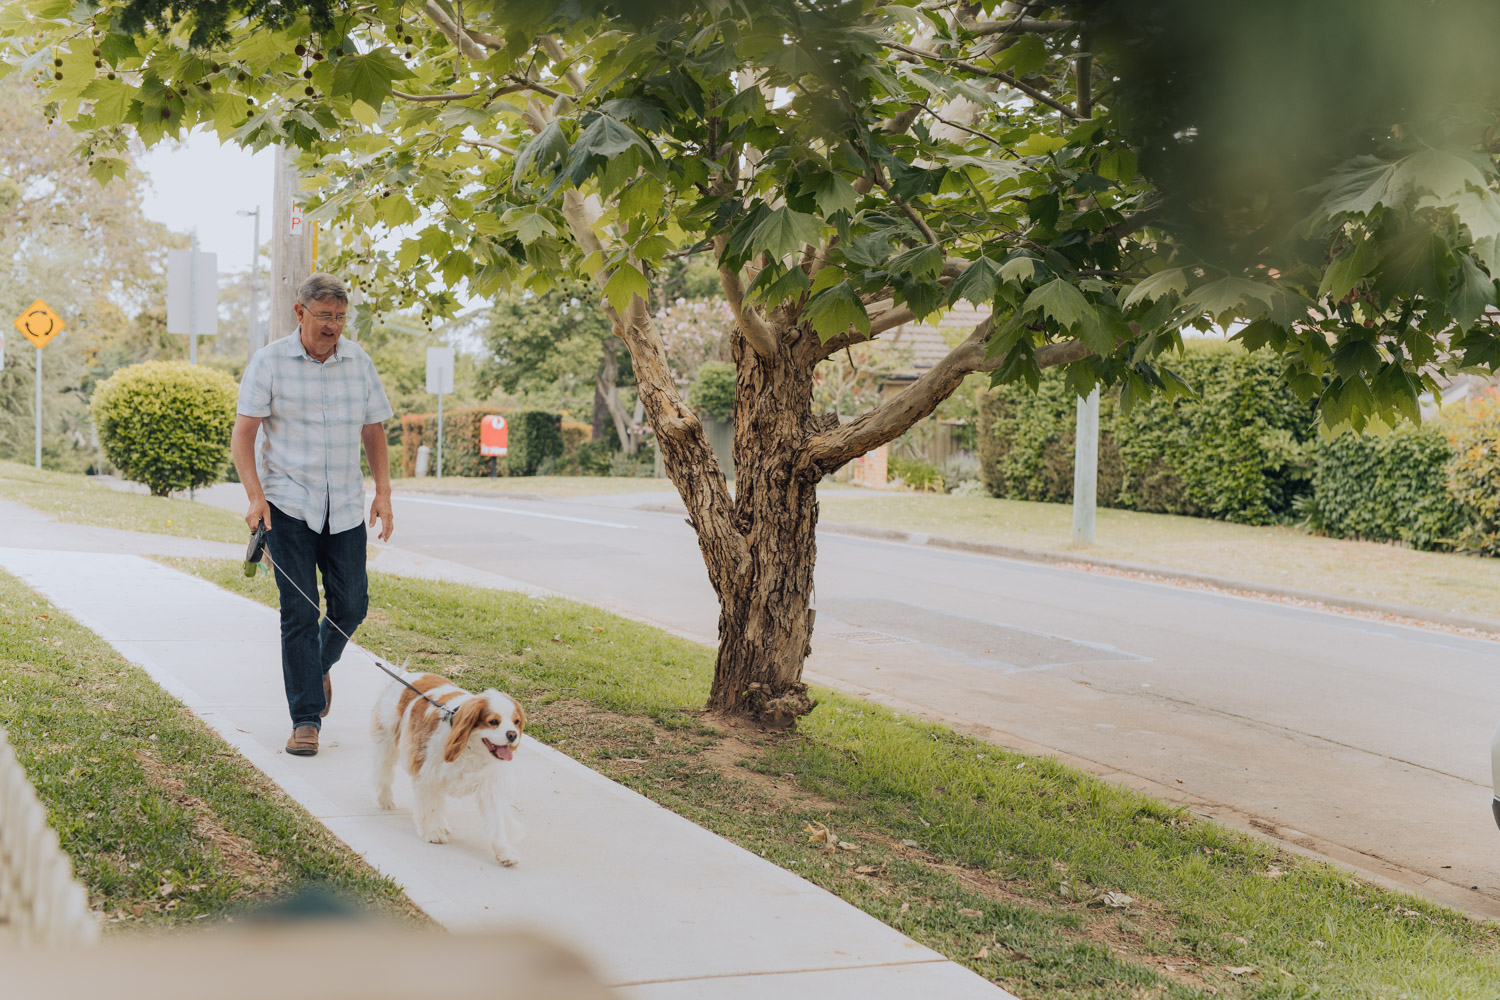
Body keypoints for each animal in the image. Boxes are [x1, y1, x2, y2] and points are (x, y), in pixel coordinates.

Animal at [370, 671, 528, 869]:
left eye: (516, 722)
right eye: (493, 722)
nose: (512, 735)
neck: (470, 747)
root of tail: (409, 674)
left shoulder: (489, 787)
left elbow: (496, 821)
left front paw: (504, 851)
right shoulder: (428, 775)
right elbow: (430, 805)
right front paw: (432, 832)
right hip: (388, 740)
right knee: (383, 772)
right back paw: (385, 799)